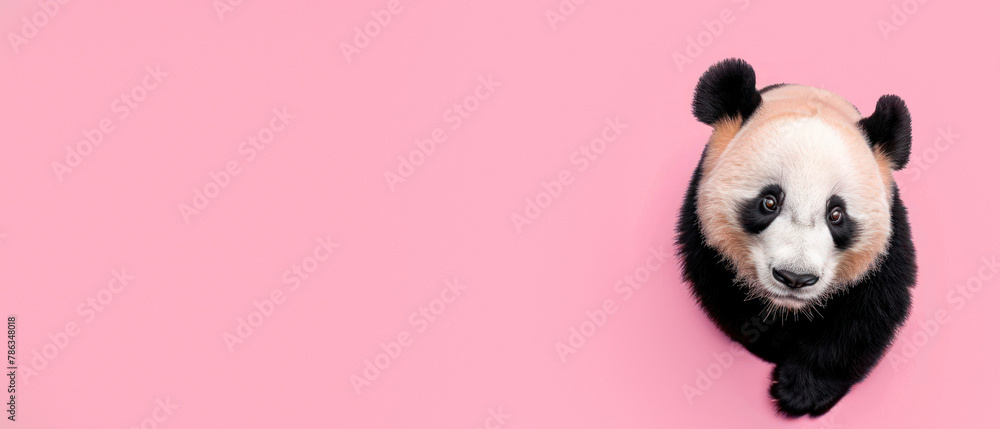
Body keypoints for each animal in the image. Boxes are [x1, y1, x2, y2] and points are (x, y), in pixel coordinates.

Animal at [675, 58, 917, 417]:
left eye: (836, 214)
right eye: (769, 202)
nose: (795, 278)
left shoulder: (890, 238)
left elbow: (870, 311)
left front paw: (802, 390)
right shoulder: (701, 223)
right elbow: (724, 287)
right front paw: (777, 342)